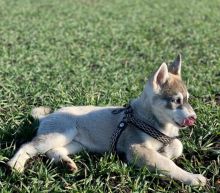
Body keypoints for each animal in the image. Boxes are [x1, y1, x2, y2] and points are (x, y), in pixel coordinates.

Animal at [6, 54, 206, 185]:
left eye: (187, 99)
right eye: (176, 100)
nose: (193, 118)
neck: (149, 119)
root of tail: (47, 116)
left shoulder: (166, 140)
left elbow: (177, 145)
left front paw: (165, 152)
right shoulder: (136, 149)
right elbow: (167, 164)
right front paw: (192, 178)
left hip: (77, 144)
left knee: (52, 151)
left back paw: (66, 163)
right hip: (60, 134)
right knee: (27, 146)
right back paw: (15, 165)